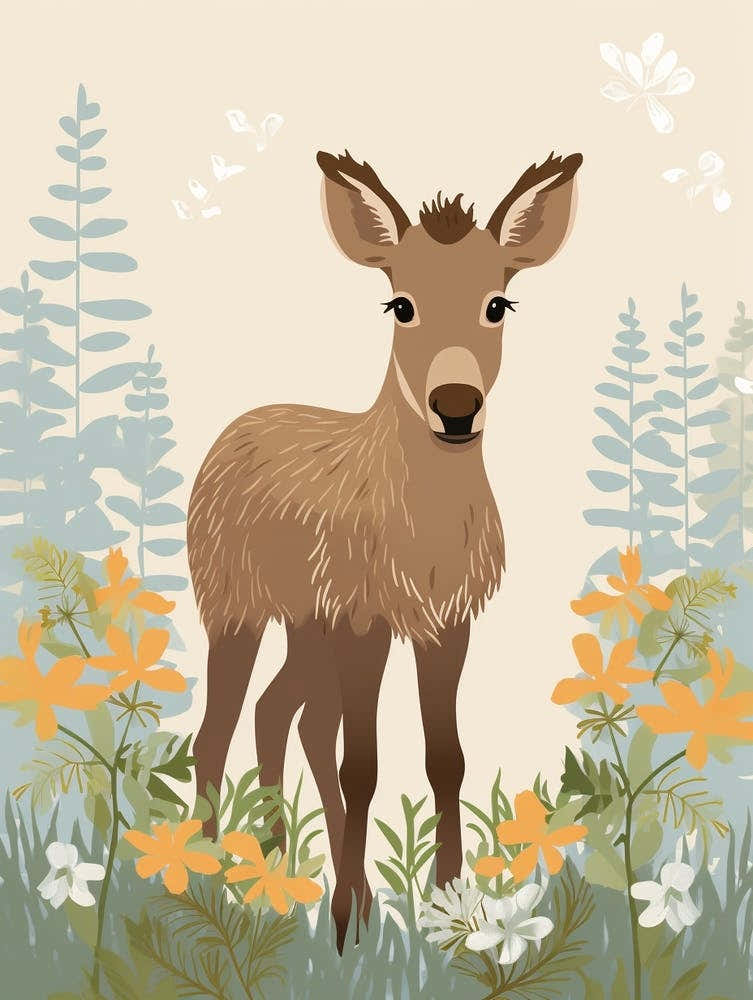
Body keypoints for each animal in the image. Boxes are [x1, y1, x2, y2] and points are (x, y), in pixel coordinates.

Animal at [187, 148, 583, 949]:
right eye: (400, 304)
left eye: (499, 303)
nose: (455, 407)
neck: (422, 530)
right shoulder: (363, 618)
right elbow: (361, 766)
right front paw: (343, 929)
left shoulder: (446, 621)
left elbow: (445, 758)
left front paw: (451, 904)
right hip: (236, 609)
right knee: (217, 731)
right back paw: (222, 875)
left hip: (304, 625)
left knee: (281, 714)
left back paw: (284, 865)